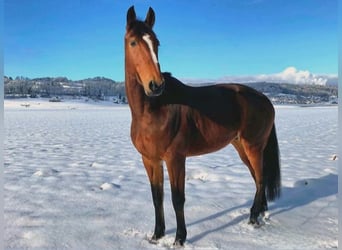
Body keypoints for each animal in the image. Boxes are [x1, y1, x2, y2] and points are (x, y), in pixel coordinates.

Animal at [124, 5, 280, 246]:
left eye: (156, 43)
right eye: (133, 42)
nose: (155, 85)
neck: (153, 111)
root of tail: (265, 100)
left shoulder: (175, 159)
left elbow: (177, 199)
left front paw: (179, 238)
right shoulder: (150, 160)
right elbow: (157, 197)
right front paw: (157, 235)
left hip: (253, 146)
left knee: (261, 179)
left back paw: (253, 217)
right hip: (242, 147)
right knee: (257, 179)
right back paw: (260, 213)